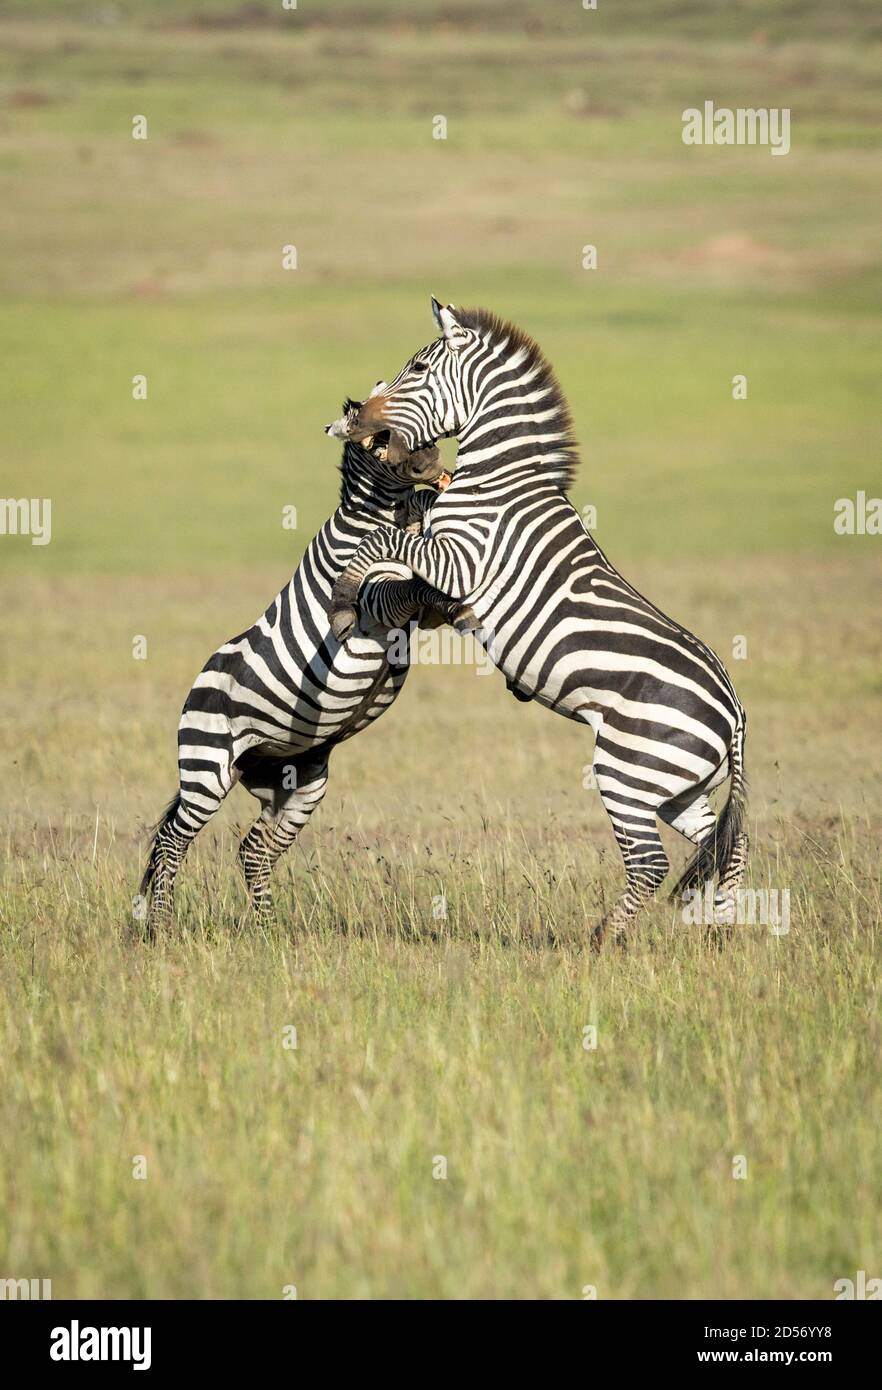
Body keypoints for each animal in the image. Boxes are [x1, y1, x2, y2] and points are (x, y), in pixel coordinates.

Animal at [139, 405, 469, 934]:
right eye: (379, 440)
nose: (433, 460)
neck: (380, 517)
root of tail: (196, 687)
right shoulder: (373, 604)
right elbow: (411, 588)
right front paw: (455, 603)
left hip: (297, 781)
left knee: (254, 851)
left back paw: (269, 932)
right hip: (207, 769)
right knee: (173, 843)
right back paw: (161, 929)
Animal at [327, 298, 750, 939]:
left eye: (418, 368)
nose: (355, 415)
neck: (498, 479)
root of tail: (734, 712)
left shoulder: (461, 558)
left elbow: (383, 541)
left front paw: (346, 594)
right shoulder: (445, 568)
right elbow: (402, 559)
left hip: (628, 770)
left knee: (651, 863)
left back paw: (603, 941)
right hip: (678, 785)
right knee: (724, 846)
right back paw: (723, 939)